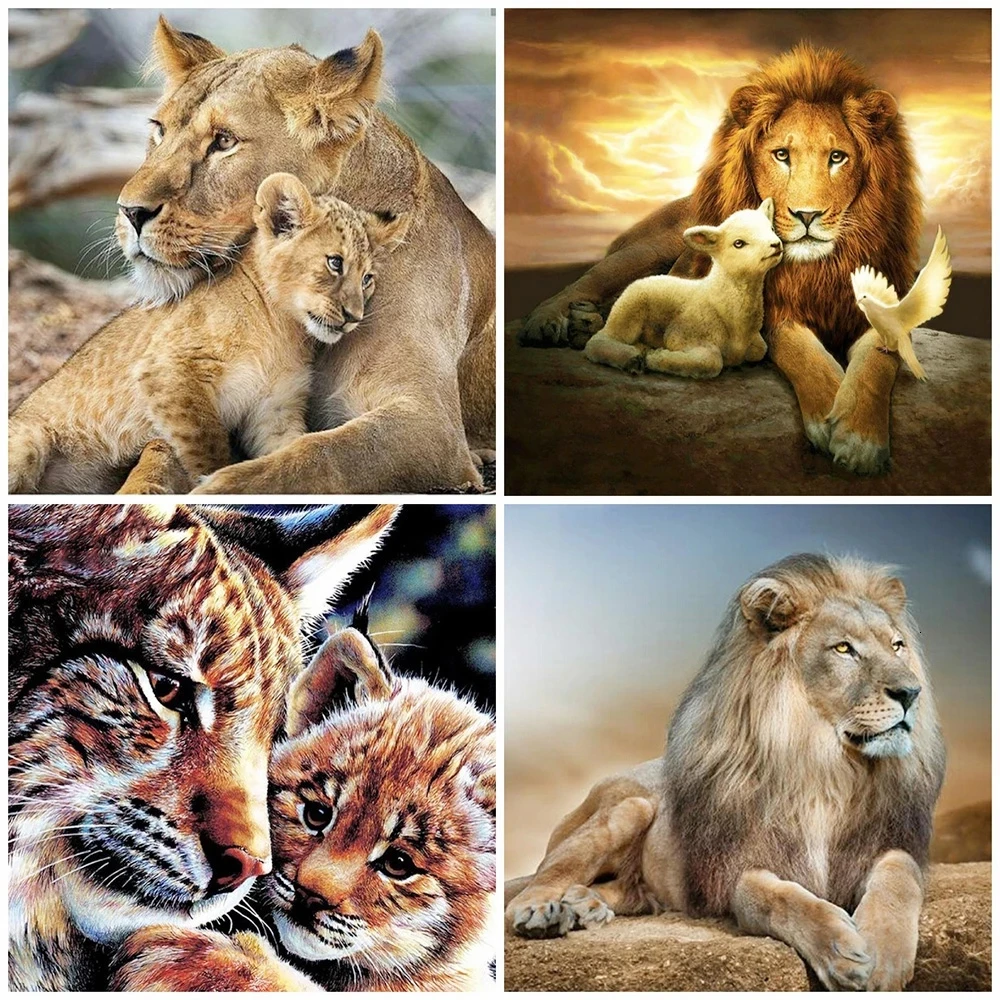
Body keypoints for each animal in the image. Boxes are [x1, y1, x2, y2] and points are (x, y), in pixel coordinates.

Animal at [9, 173, 407, 494]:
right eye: (335, 263)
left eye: (367, 278)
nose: (354, 317)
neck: (282, 327)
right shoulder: (168, 370)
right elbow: (206, 445)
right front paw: (210, 482)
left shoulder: (274, 409)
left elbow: (287, 454)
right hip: (28, 442)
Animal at [109, 17, 494, 494]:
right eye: (159, 129)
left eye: (224, 141)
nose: (129, 211)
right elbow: (161, 448)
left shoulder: (433, 425)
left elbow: (324, 454)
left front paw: (220, 488)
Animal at [506, 554, 946, 991]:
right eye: (843, 649)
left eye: (897, 646)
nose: (911, 693)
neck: (824, 767)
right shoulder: (736, 866)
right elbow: (770, 897)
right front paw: (840, 948)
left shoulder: (884, 841)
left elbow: (899, 874)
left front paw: (884, 955)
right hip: (629, 807)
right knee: (536, 883)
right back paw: (545, 911)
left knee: (627, 890)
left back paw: (585, 904)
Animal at [520, 45, 922, 475]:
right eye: (782, 155)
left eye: (837, 157)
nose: (807, 215)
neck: (822, 267)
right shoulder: (776, 317)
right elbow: (806, 356)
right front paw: (829, 412)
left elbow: (875, 365)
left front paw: (861, 440)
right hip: (642, 252)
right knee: (585, 285)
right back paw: (551, 322)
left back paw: (584, 324)